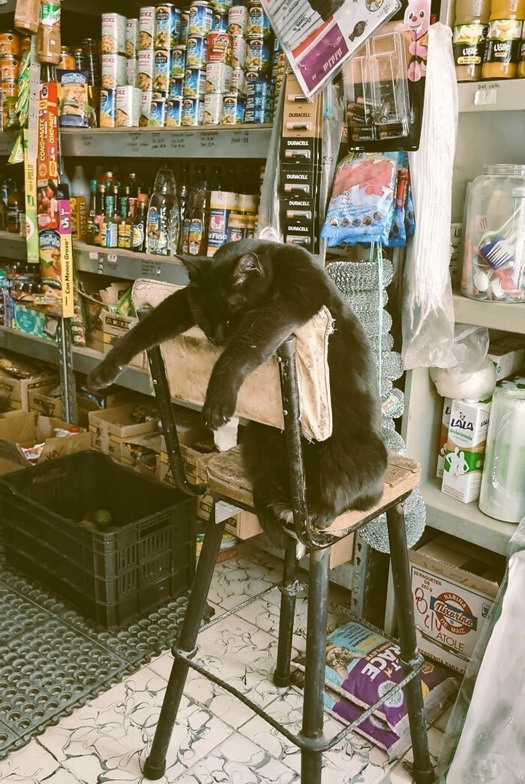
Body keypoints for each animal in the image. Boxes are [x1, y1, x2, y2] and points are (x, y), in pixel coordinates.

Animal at [87, 238, 388, 547]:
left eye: (233, 314)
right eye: (203, 315)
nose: (215, 337)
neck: (276, 264)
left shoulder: (284, 306)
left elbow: (238, 350)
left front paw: (216, 402)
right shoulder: (182, 301)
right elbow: (144, 328)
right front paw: (104, 370)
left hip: (351, 457)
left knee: (354, 496)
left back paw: (321, 513)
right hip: (257, 443)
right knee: (269, 487)